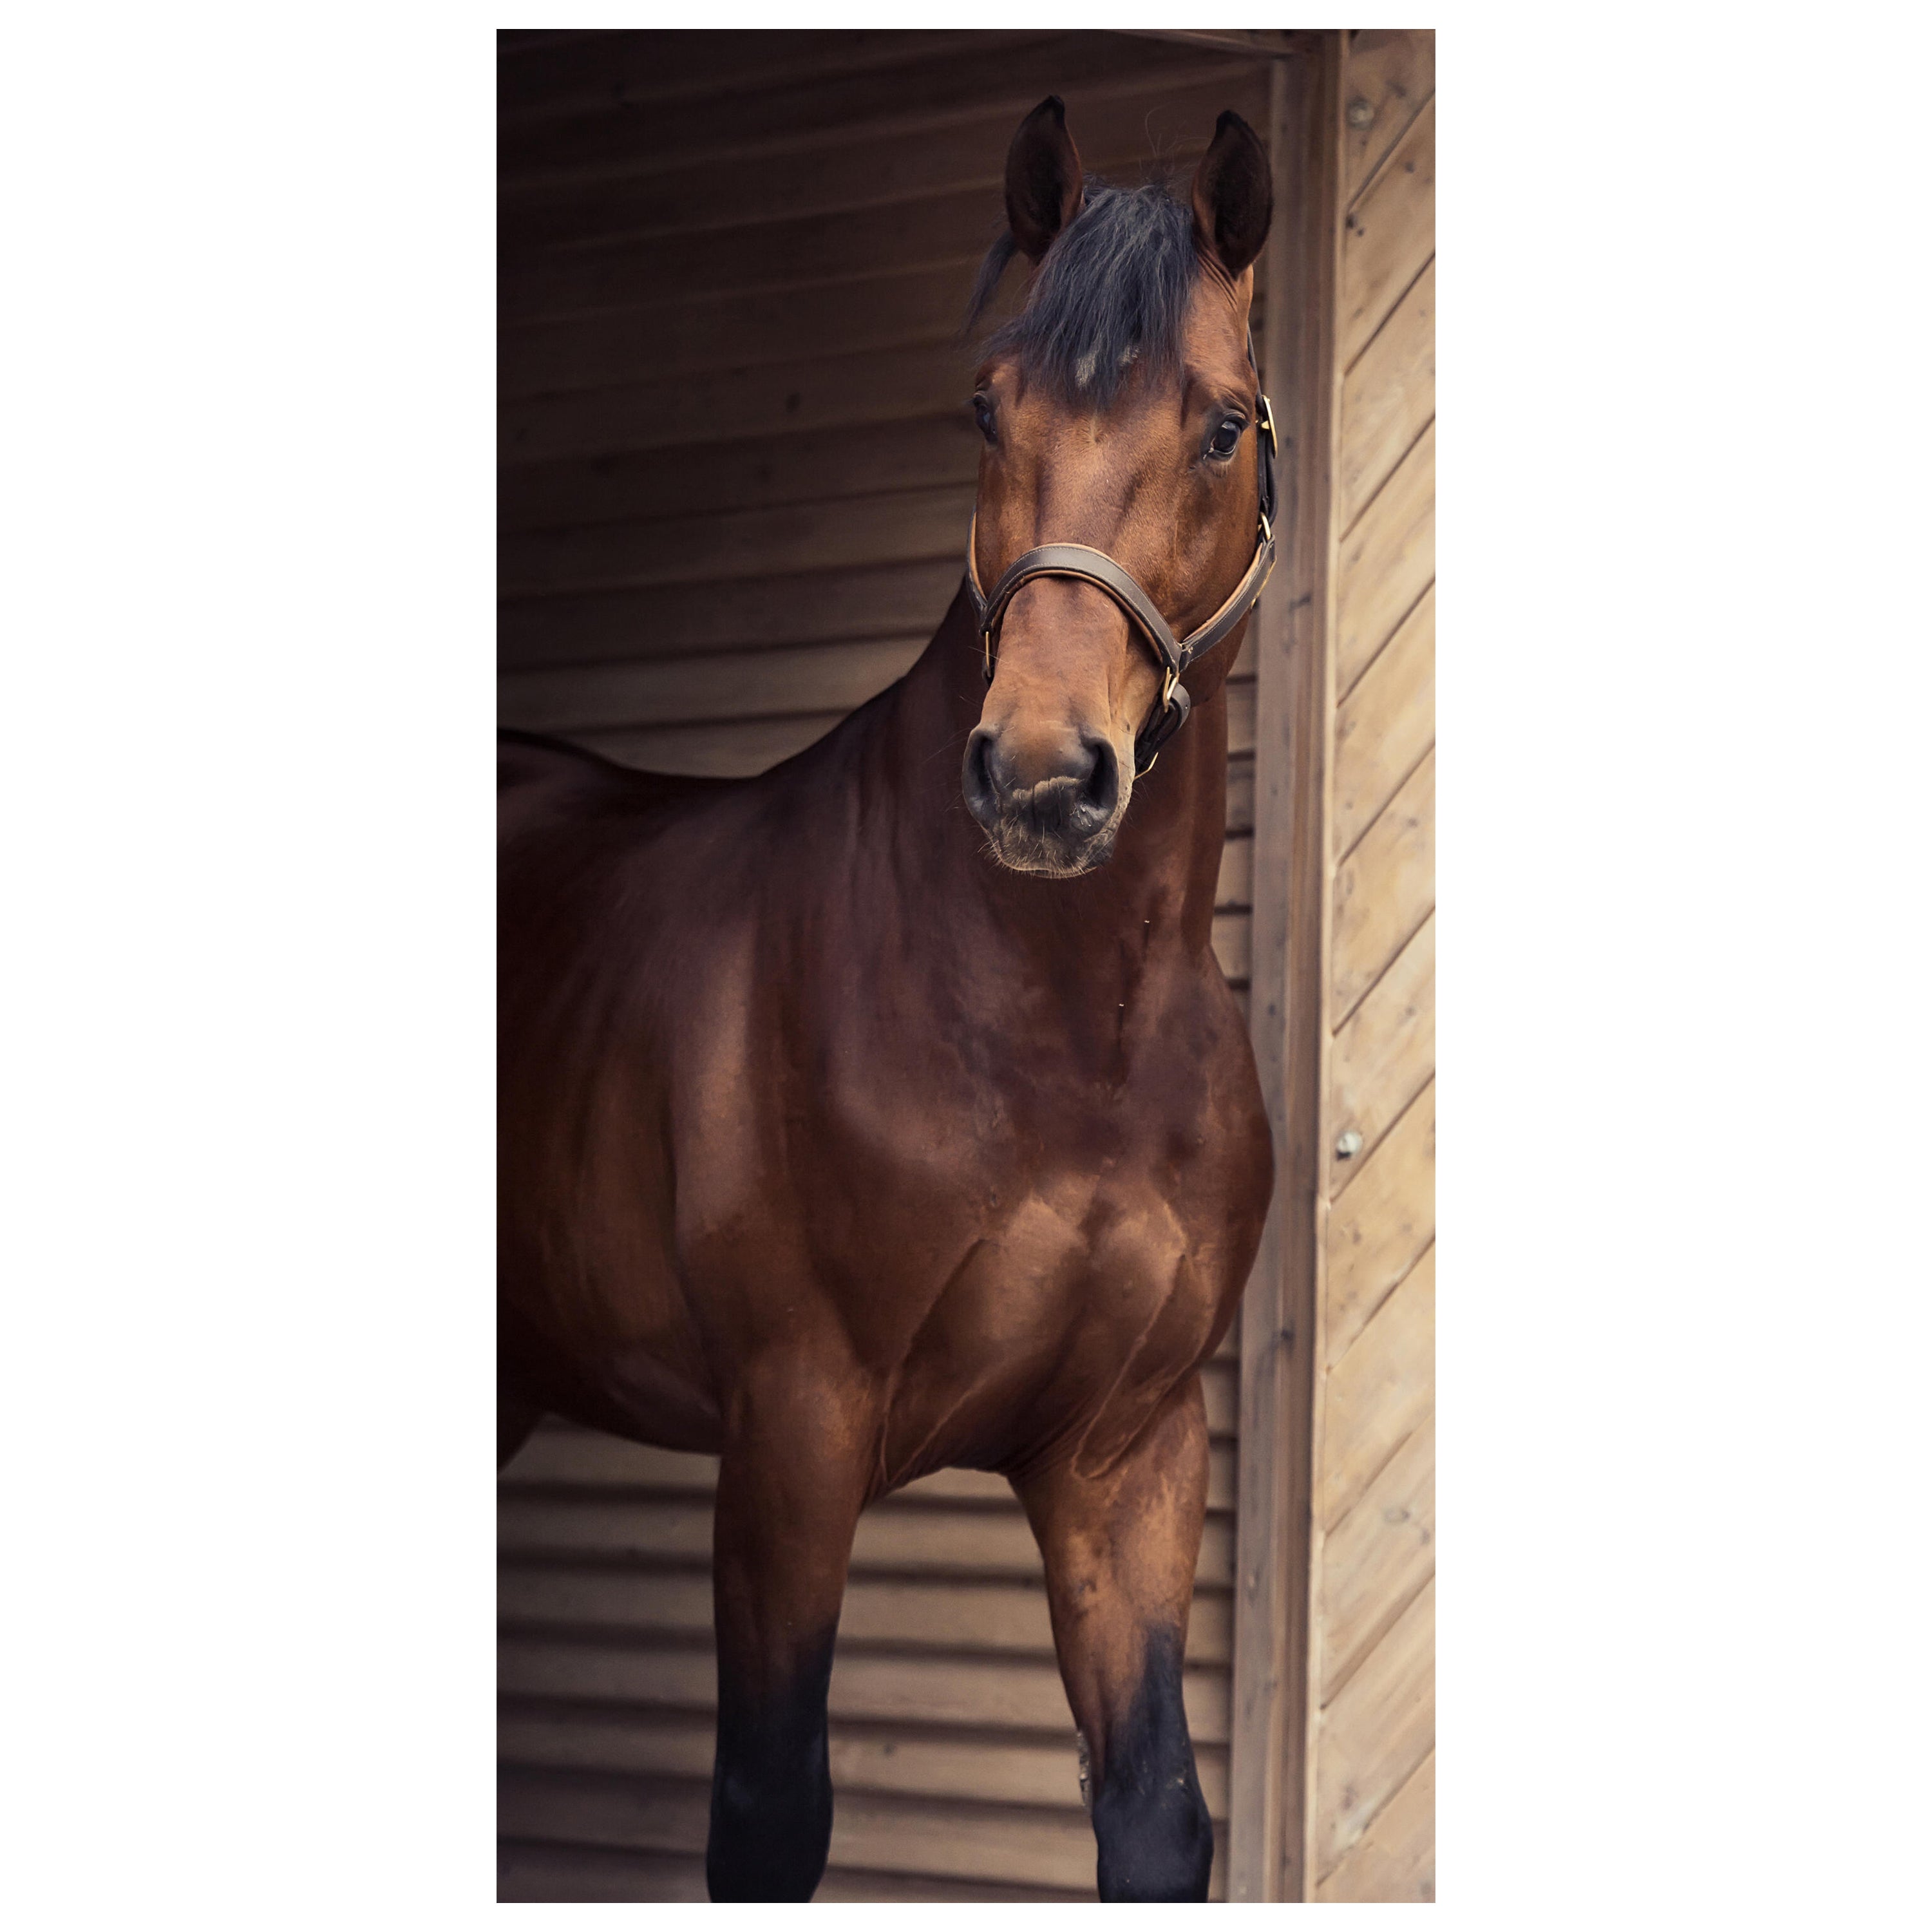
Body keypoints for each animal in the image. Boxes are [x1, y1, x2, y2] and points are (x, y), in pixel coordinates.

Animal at [499, 97, 1279, 1903]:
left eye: (1219, 424)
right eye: (986, 407)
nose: (1045, 779)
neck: (1065, 1029)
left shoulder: (1123, 1458)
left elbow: (1155, 1817)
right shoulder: (793, 1433)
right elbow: (769, 1817)